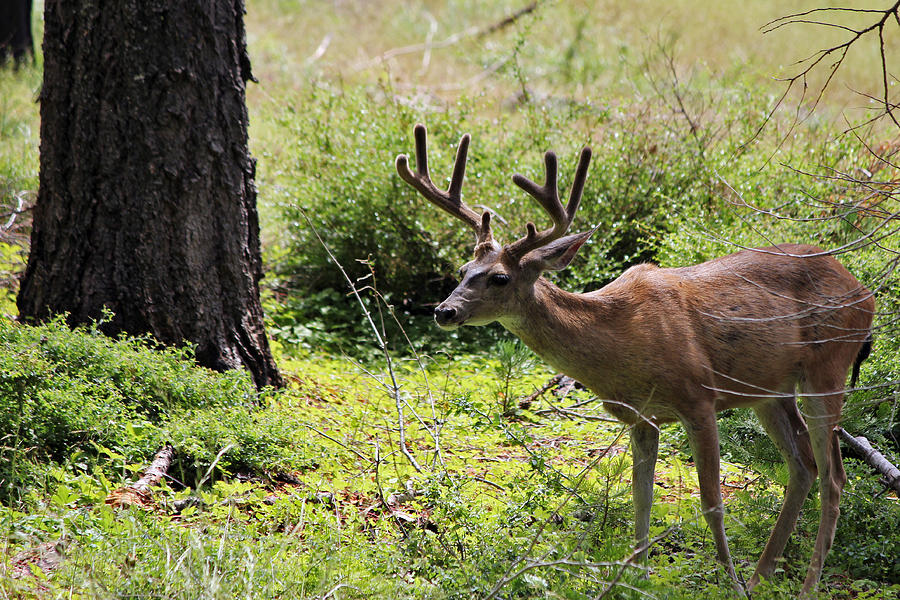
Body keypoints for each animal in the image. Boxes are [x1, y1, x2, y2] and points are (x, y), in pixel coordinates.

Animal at [398, 124, 876, 596]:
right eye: (462, 271)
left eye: (499, 278)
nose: (444, 311)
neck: (621, 344)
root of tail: (865, 293)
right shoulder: (641, 416)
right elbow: (641, 496)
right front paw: (637, 578)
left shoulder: (698, 398)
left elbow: (711, 501)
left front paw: (728, 583)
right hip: (770, 390)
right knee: (804, 466)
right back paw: (762, 576)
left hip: (827, 368)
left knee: (834, 476)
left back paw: (803, 584)